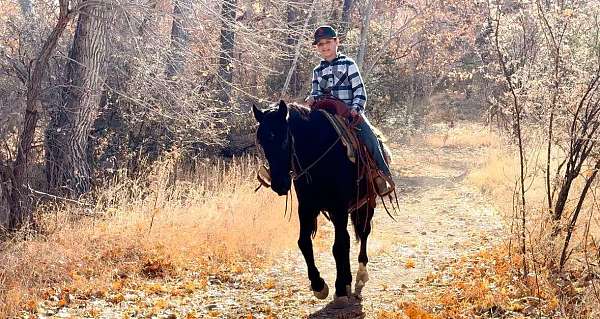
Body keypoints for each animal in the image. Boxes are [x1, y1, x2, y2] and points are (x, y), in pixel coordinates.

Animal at [253, 100, 376, 310]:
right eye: (262, 141)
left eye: (284, 139)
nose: (279, 184)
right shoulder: (307, 207)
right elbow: (304, 242)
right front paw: (319, 285)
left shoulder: (339, 206)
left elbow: (338, 246)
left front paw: (340, 289)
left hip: (367, 204)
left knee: (363, 233)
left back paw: (360, 277)